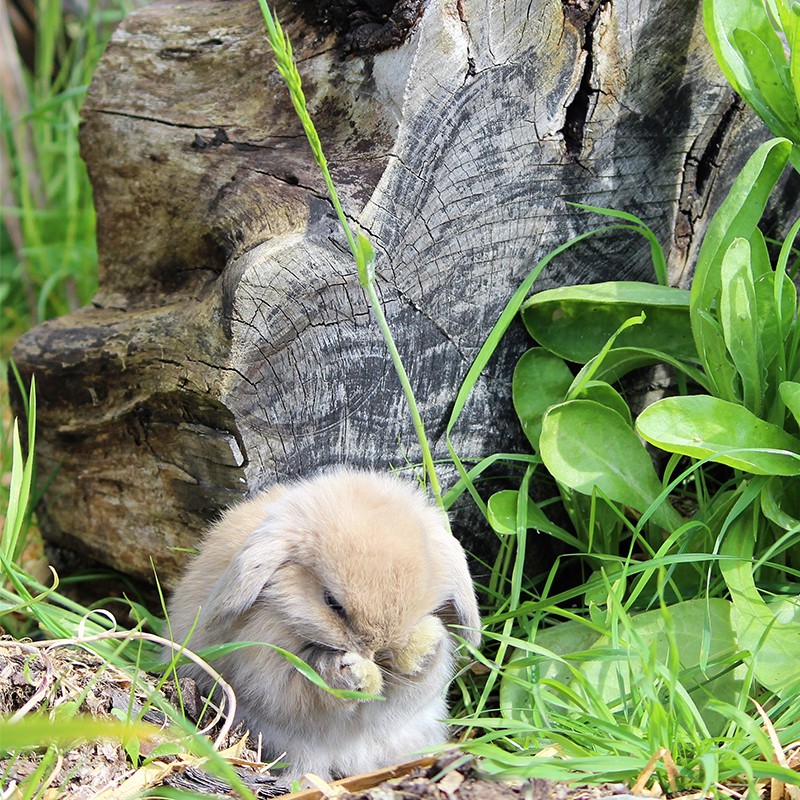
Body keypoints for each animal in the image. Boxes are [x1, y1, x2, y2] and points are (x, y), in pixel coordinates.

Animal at [166, 468, 482, 780]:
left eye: (420, 597)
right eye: (332, 602)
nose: (376, 653)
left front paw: (421, 648)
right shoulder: (265, 667)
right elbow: (306, 689)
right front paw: (353, 674)